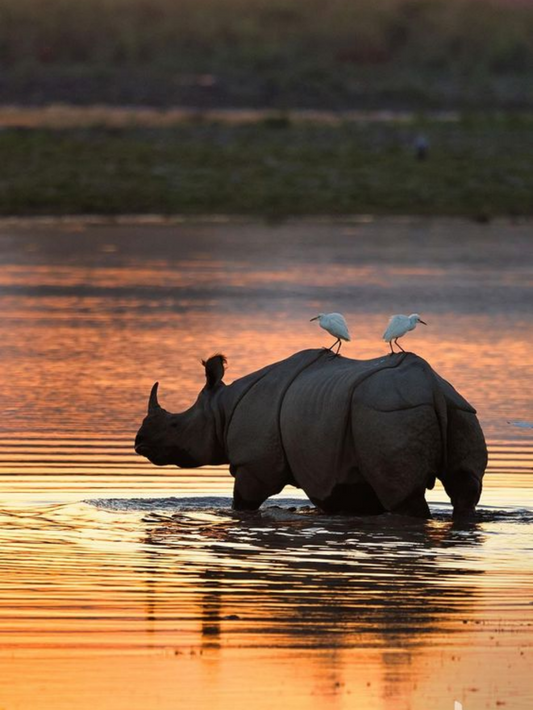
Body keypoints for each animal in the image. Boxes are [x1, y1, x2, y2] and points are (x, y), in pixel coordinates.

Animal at [134, 349, 487, 518]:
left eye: (175, 425)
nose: (139, 443)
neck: (222, 408)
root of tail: (432, 387)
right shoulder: (339, 468)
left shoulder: (254, 465)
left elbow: (242, 503)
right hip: (459, 410)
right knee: (465, 487)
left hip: (389, 414)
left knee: (404, 498)